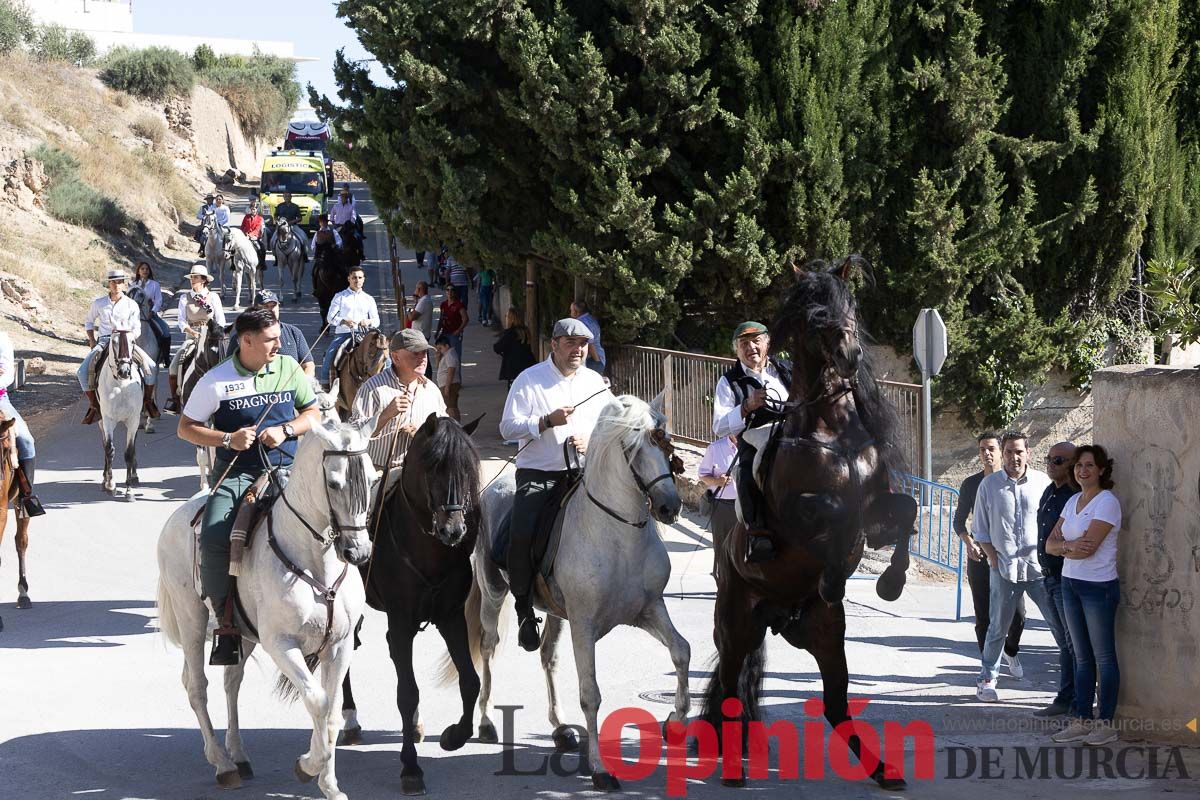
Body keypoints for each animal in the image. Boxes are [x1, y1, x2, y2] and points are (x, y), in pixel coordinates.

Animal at [96, 328, 142, 496]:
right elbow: (109, 449)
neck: (121, 385)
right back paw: (104, 480)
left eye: (133, 341)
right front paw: (110, 484)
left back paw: (134, 476)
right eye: (114, 341)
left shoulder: (134, 420)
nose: (124, 371)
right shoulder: (107, 419)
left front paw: (129, 490)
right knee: (104, 445)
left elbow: (129, 452)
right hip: (101, 421)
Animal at [157, 417, 376, 796]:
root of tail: (177, 516)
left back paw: (239, 756)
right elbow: (317, 700)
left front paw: (330, 785)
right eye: (335, 483)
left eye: (373, 478)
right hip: (191, 618)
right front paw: (308, 766)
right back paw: (223, 764)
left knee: (231, 681)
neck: (314, 562)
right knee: (196, 685)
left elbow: (332, 712)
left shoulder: (340, 644)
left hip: (240, 632)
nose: (359, 552)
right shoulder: (281, 644)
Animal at [340, 412, 480, 796]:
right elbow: (407, 693)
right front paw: (411, 768)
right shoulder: (401, 622)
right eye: (433, 467)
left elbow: (470, 681)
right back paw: (349, 720)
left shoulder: (450, 617)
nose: (453, 530)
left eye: (468, 469)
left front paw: (454, 736)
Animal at [458, 398, 691, 791]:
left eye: (666, 442)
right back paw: (487, 721)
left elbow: (681, 651)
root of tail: (493, 487)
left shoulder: (648, 610)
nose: (668, 507)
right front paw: (599, 769)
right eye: (632, 448)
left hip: (555, 613)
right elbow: (591, 693)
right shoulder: (584, 626)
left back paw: (560, 727)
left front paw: (676, 721)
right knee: (488, 649)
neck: (617, 535)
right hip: (494, 594)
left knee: (548, 658)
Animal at [700, 260, 912, 791]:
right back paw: (733, 771)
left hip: (824, 637)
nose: (850, 356)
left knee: (836, 707)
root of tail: (778, 618)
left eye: (848, 304)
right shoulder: (803, 511)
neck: (830, 428)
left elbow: (906, 511)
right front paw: (842, 573)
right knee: (730, 692)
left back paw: (883, 771)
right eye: (815, 314)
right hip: (735, 627)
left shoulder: (877, 501)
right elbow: (837, 519)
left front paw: (892, 581)